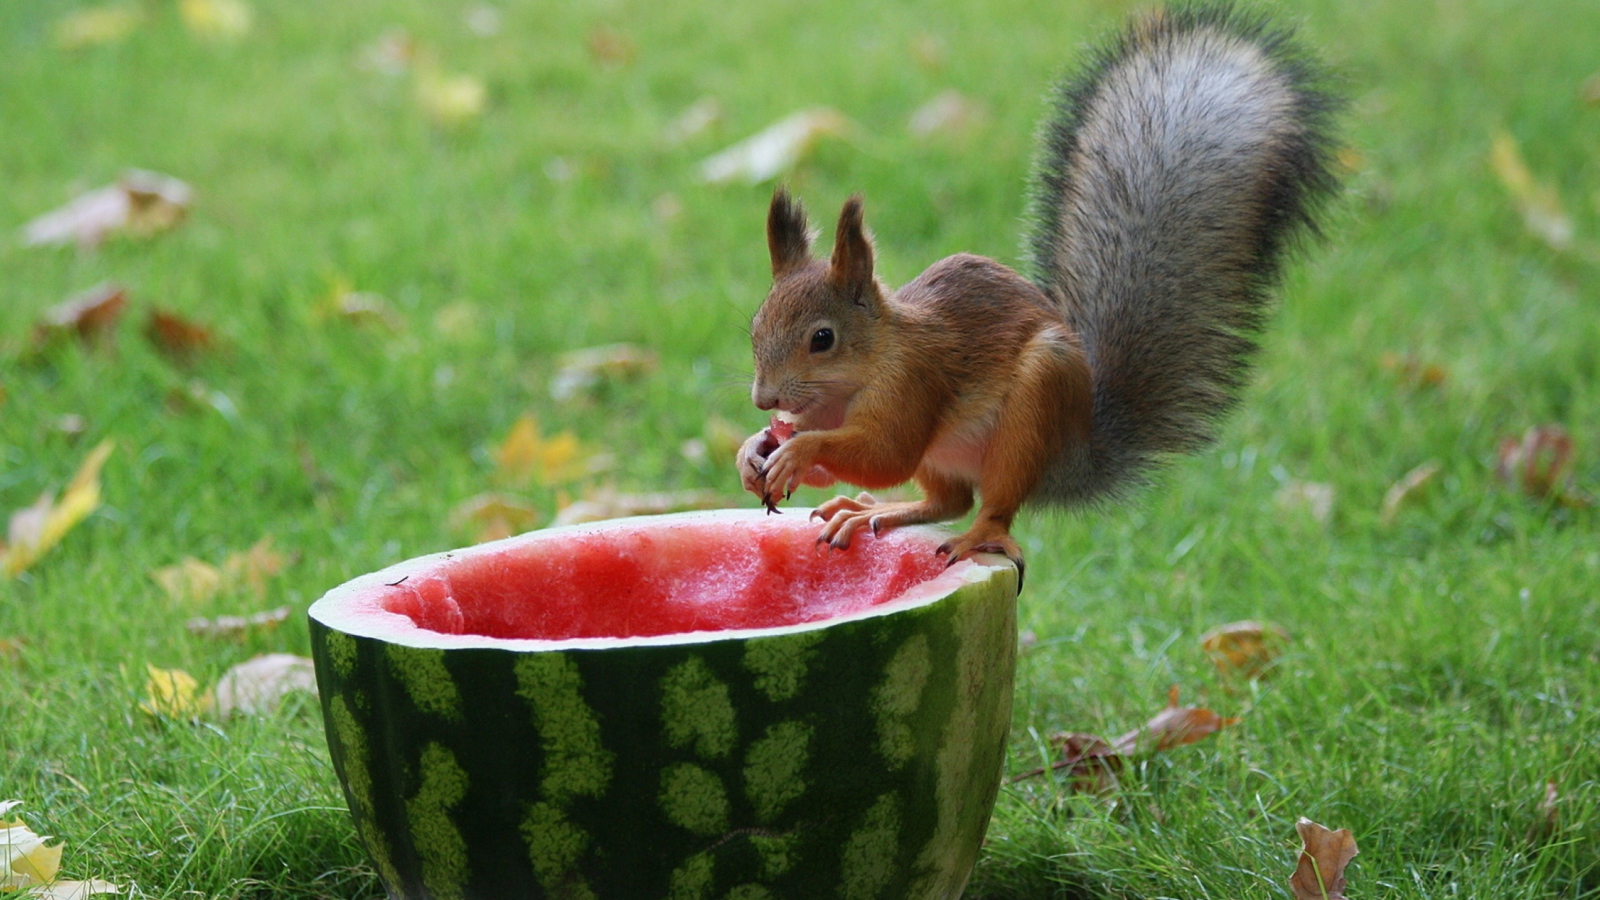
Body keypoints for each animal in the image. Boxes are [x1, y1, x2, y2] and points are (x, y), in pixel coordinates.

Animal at [736, 3, 1337, 586]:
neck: (856, 376)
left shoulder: (915, 384)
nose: (764, 400)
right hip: (951, 455)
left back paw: (977, 536)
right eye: (756, 327)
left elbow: (887, 455)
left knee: (990, 504)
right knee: (947, 500)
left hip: (1031, 414)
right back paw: (871, 512)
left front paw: (800, 450)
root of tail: (1073, 452)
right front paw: (755, 449)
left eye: (823, 338)